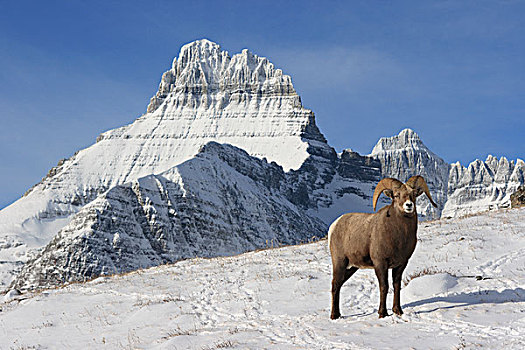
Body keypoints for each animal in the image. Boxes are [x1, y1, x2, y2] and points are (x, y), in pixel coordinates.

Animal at [330, 176, 436, 318]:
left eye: (414, 194)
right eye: (396, 195)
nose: (409, 205)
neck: (398, 236)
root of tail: (335, 225)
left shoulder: (400, 264)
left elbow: (396, 286)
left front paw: (398, 311)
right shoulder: (380, 264)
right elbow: (384, 287)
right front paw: (382, 313)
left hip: (351, 267)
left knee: (340, 284)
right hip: (340, 263)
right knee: (335, 285)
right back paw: (334, 316)